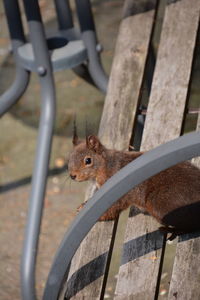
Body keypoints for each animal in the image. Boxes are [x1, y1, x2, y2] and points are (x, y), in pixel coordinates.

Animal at [68, 134, 200, 237]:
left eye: (88, 160)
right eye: (69, 158)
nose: (72, 176)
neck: (105, 166)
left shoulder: (117, 196)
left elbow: (111, 210)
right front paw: (84, 205)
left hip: (161, 204)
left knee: (192, 225)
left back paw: (173, 230)